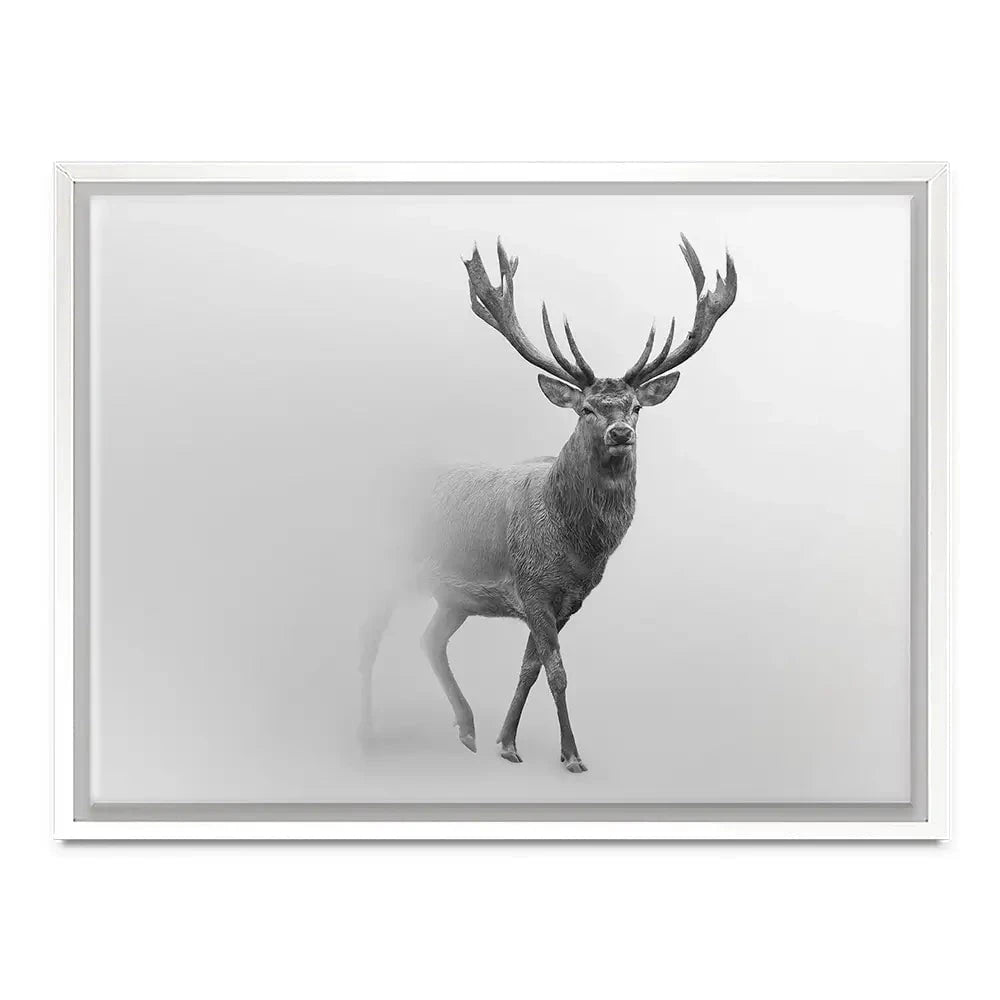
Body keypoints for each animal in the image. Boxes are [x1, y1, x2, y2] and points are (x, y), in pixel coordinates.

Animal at [358, 235, 737, 772]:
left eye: (636, 407)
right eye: (586, 409)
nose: (620, 433)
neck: (577, 545)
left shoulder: (568, 601)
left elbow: (529, 668)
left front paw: (506, 741)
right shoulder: (532, 585)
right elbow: (556, 672)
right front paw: (572, 755)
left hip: (453, 597)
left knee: (429, 639)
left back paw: (467, 730)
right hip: (386, 567)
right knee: (369, 639)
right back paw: (368, 730)